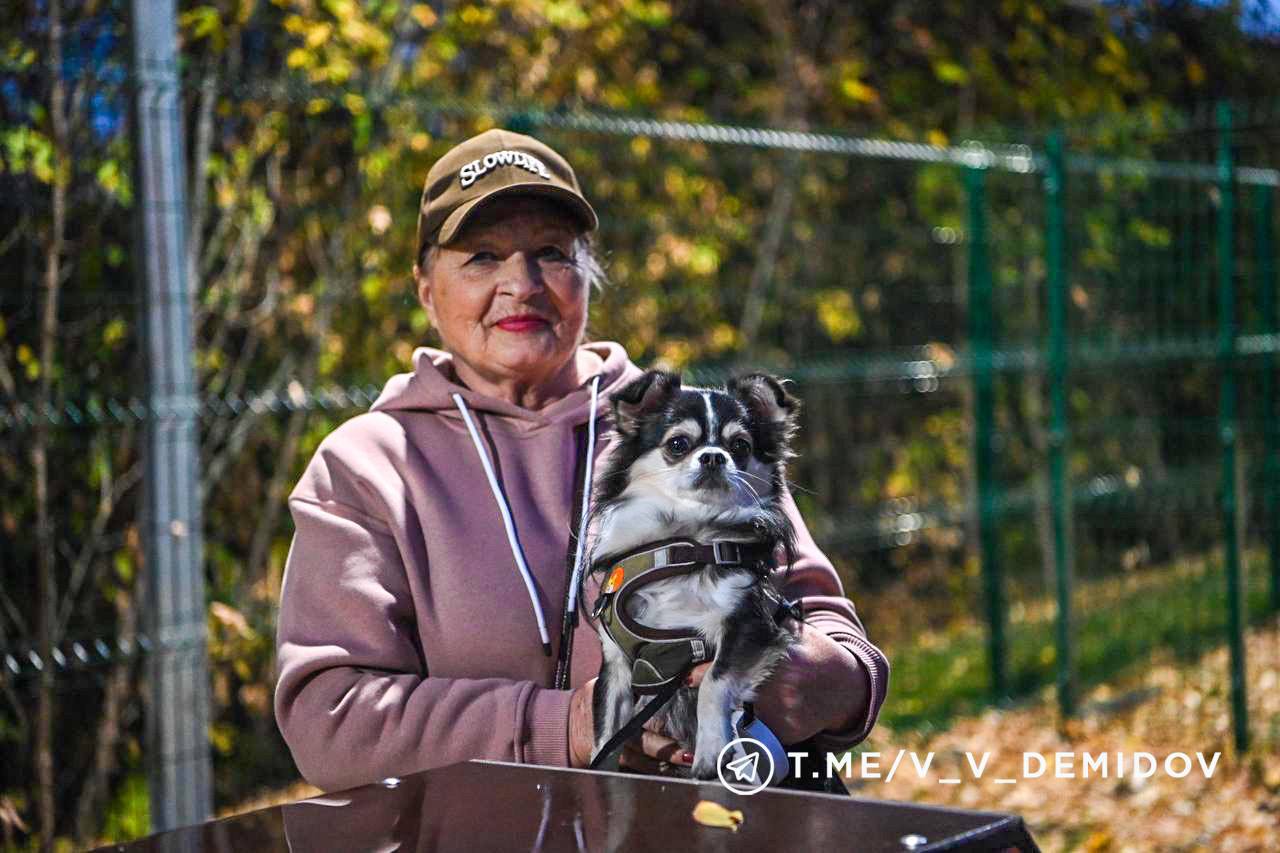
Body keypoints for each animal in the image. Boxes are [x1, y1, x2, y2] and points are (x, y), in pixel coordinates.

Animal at [586, 366, 798, 778]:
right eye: (678, 444)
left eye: (741, 447)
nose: (714, 457)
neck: (685, 544)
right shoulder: (616, 663)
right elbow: (606, 733)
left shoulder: (750, 627)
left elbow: (714, 683)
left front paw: (711, 751)